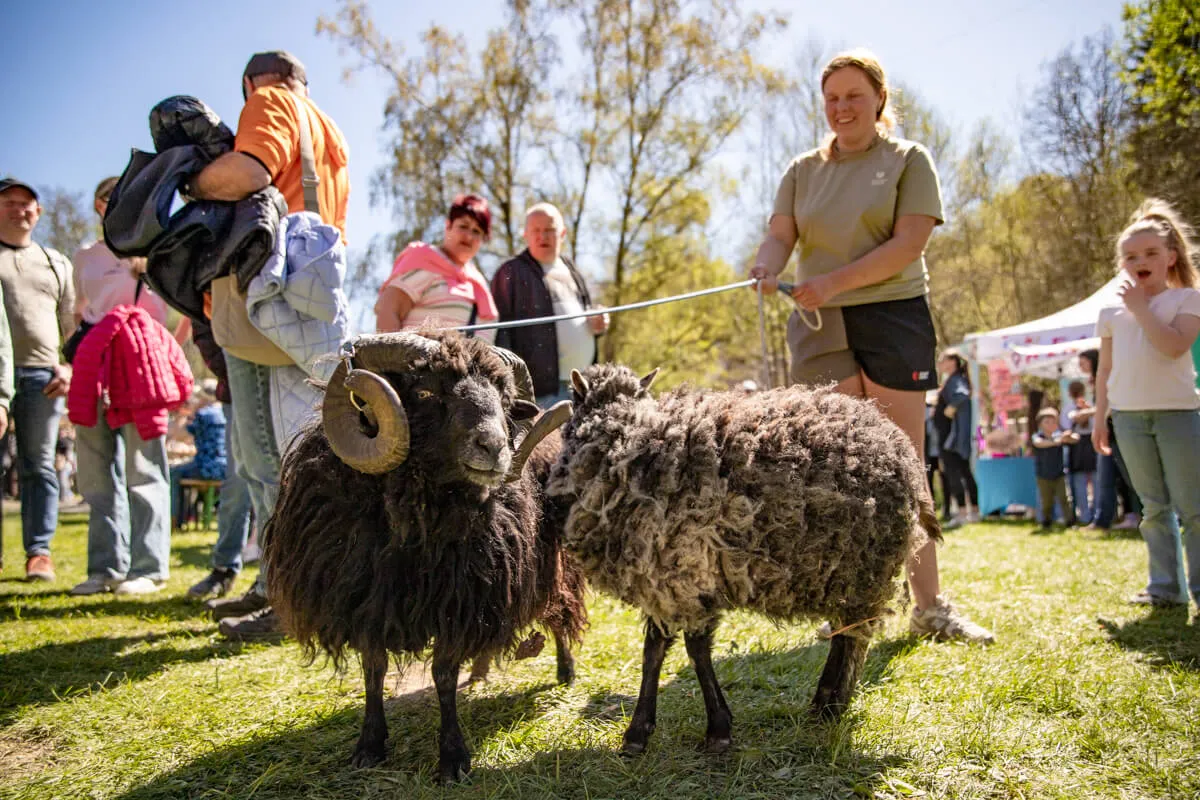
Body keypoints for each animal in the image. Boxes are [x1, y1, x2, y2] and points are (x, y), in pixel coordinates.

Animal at [263, 331, 586, 782]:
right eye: (426, 391)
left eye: (504, 398)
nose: (494, 447)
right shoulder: (366, 598)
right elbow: (374, 669)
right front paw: (369, 746)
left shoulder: (460, 599)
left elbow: (443, 675)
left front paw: (452, 758)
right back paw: (481, 670)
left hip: (552, 565)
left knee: (560, 610)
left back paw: (564, 669)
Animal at [547, 363, 939, 756]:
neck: (626, 443)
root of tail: (902, 451)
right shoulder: (670, 584)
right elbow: (660, 651)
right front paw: (651, 731)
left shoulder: (682, 578)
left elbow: (686, 650)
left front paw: (705, 731)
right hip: (842, 571)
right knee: (845, 634)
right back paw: (823, 703)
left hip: (866, 568)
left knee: (856, 637)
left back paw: (834, 702)